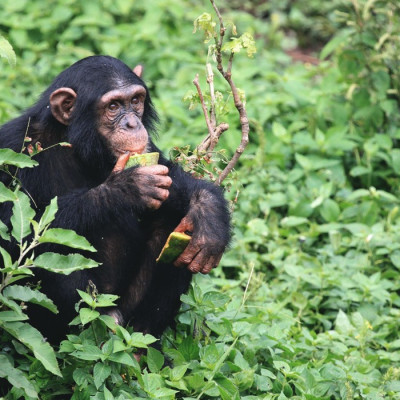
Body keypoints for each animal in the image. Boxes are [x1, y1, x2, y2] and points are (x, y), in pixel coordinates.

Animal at [0, 55, 231, 344]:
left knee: (173, 220)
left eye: (135, 101)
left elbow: (171, 175)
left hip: (126, 311)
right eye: (113, 106)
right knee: (50, 250)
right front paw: (125, 189)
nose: (132, 123)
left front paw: (209, 214)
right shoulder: (11, 148)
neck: (76, 145)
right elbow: (12, 237)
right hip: (92, 311)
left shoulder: (148, 149)